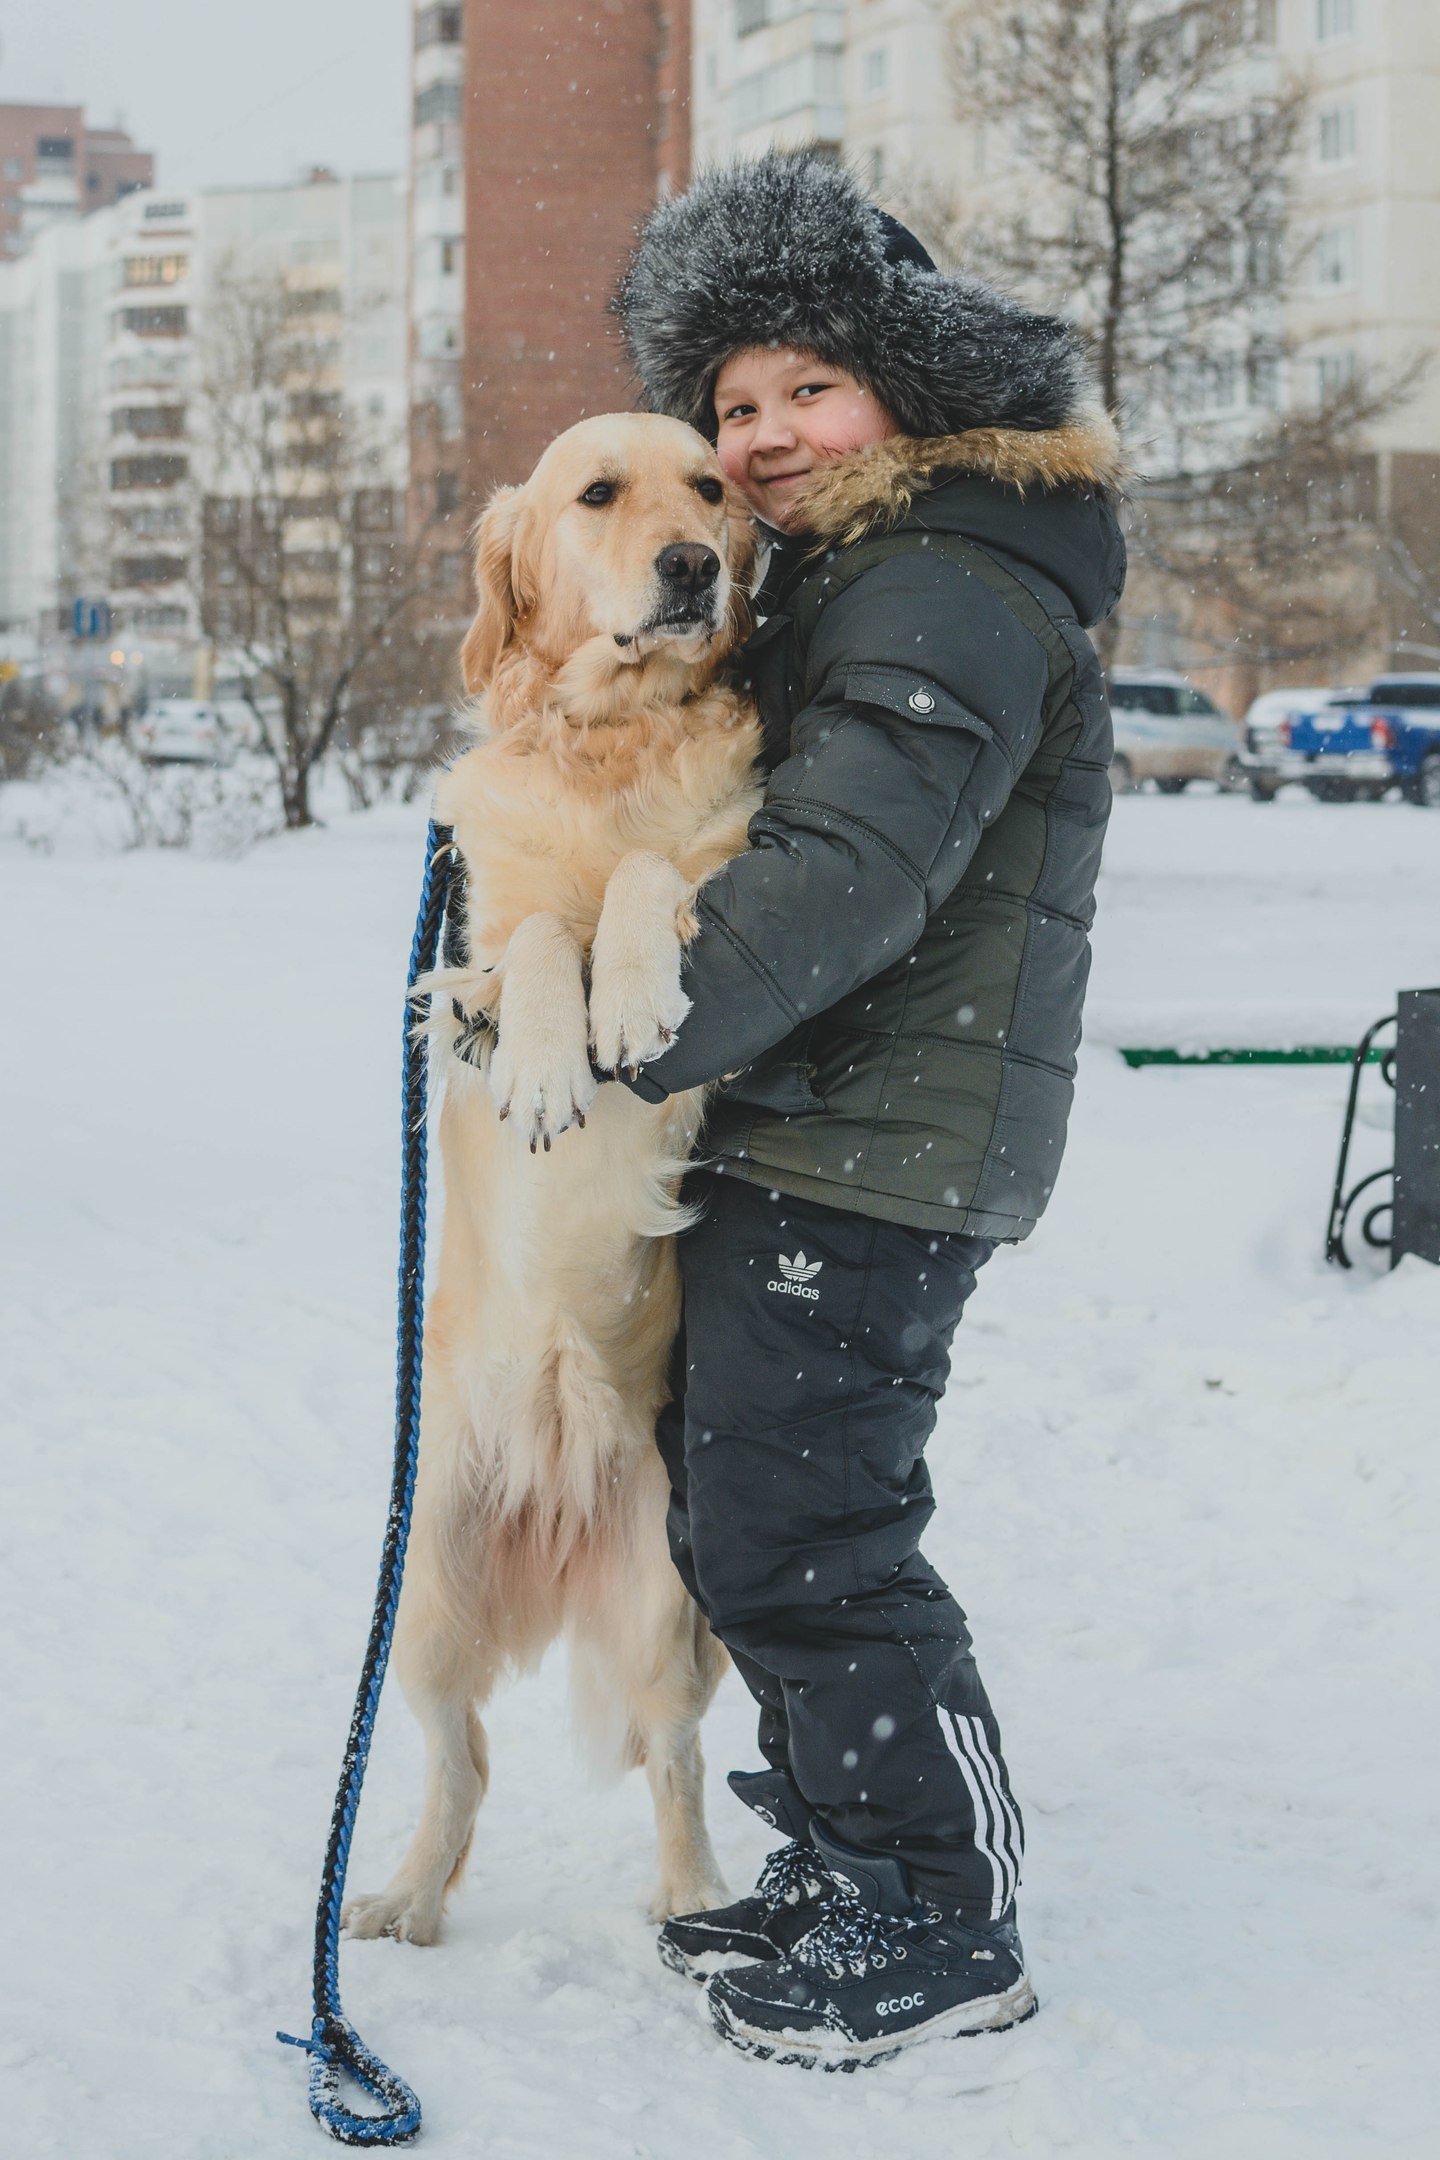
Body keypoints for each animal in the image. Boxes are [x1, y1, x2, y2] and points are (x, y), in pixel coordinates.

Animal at [341, 408, 764, 1944]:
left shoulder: (722, 864)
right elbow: (525, 943)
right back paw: (403, 1900)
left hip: (664, 1605)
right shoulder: (470, 936)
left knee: (676, 1761)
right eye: (598, 495)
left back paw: (693, 1901)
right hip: (423, 1598)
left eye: (709, 487)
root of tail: (554, 1518)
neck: (610, 736)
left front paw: (628, 998)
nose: (697, 564)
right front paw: (535, 1054)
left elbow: (651, 876)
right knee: (455, 1758)